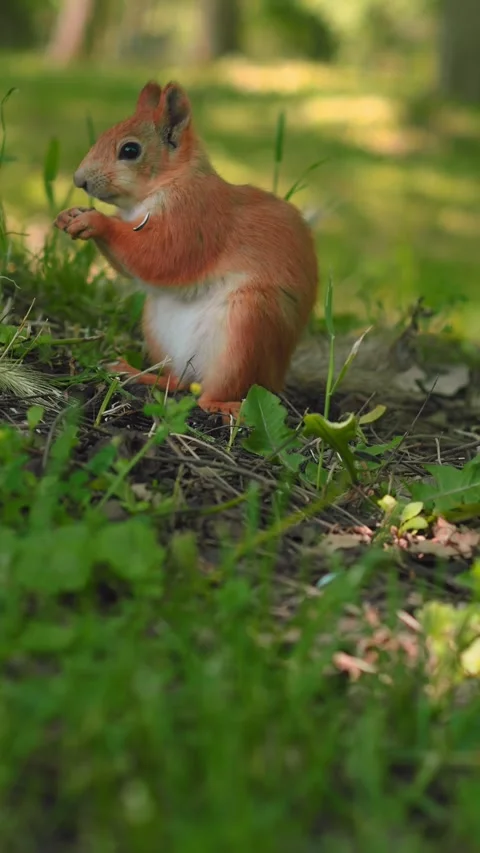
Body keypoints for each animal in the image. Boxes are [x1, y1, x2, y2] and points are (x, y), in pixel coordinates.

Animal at [54, 80, 319, 420]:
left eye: (130, 150)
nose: (79, 180)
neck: (169, 182)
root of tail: (275, 377)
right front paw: (70, 216)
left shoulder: (195, 219)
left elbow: (160, 256)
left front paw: (96, 220)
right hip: (157, 328)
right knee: (179, 381)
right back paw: (137, 372)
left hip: (248, 328)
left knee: (214, 393)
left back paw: (225, 406)